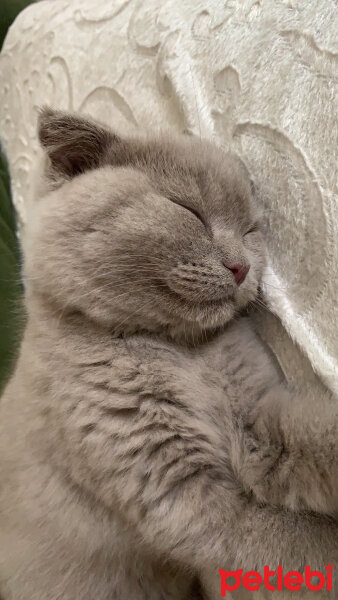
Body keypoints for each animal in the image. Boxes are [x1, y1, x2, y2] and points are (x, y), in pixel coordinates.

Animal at [0, 108, 336, 600]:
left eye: (251, 231)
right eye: (189, 210)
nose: (242, 267)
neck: (181, 351)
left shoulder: (256, 421)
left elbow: (312, 433)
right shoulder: (181, 494)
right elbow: (295, 545)